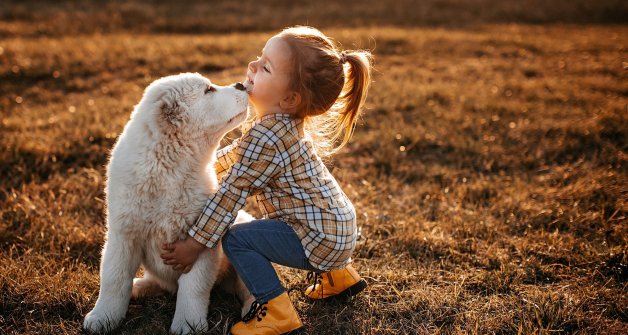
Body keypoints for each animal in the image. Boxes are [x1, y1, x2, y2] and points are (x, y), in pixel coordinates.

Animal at [84, 73, 254, 334]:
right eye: (208, 90)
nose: (241, 84)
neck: (169, 167)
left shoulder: (197, 242)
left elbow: (194, 288)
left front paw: (188, 325)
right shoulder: (123, 234)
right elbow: (114, 278)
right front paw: (103, 318)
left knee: (246, 287)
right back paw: (139, 287)